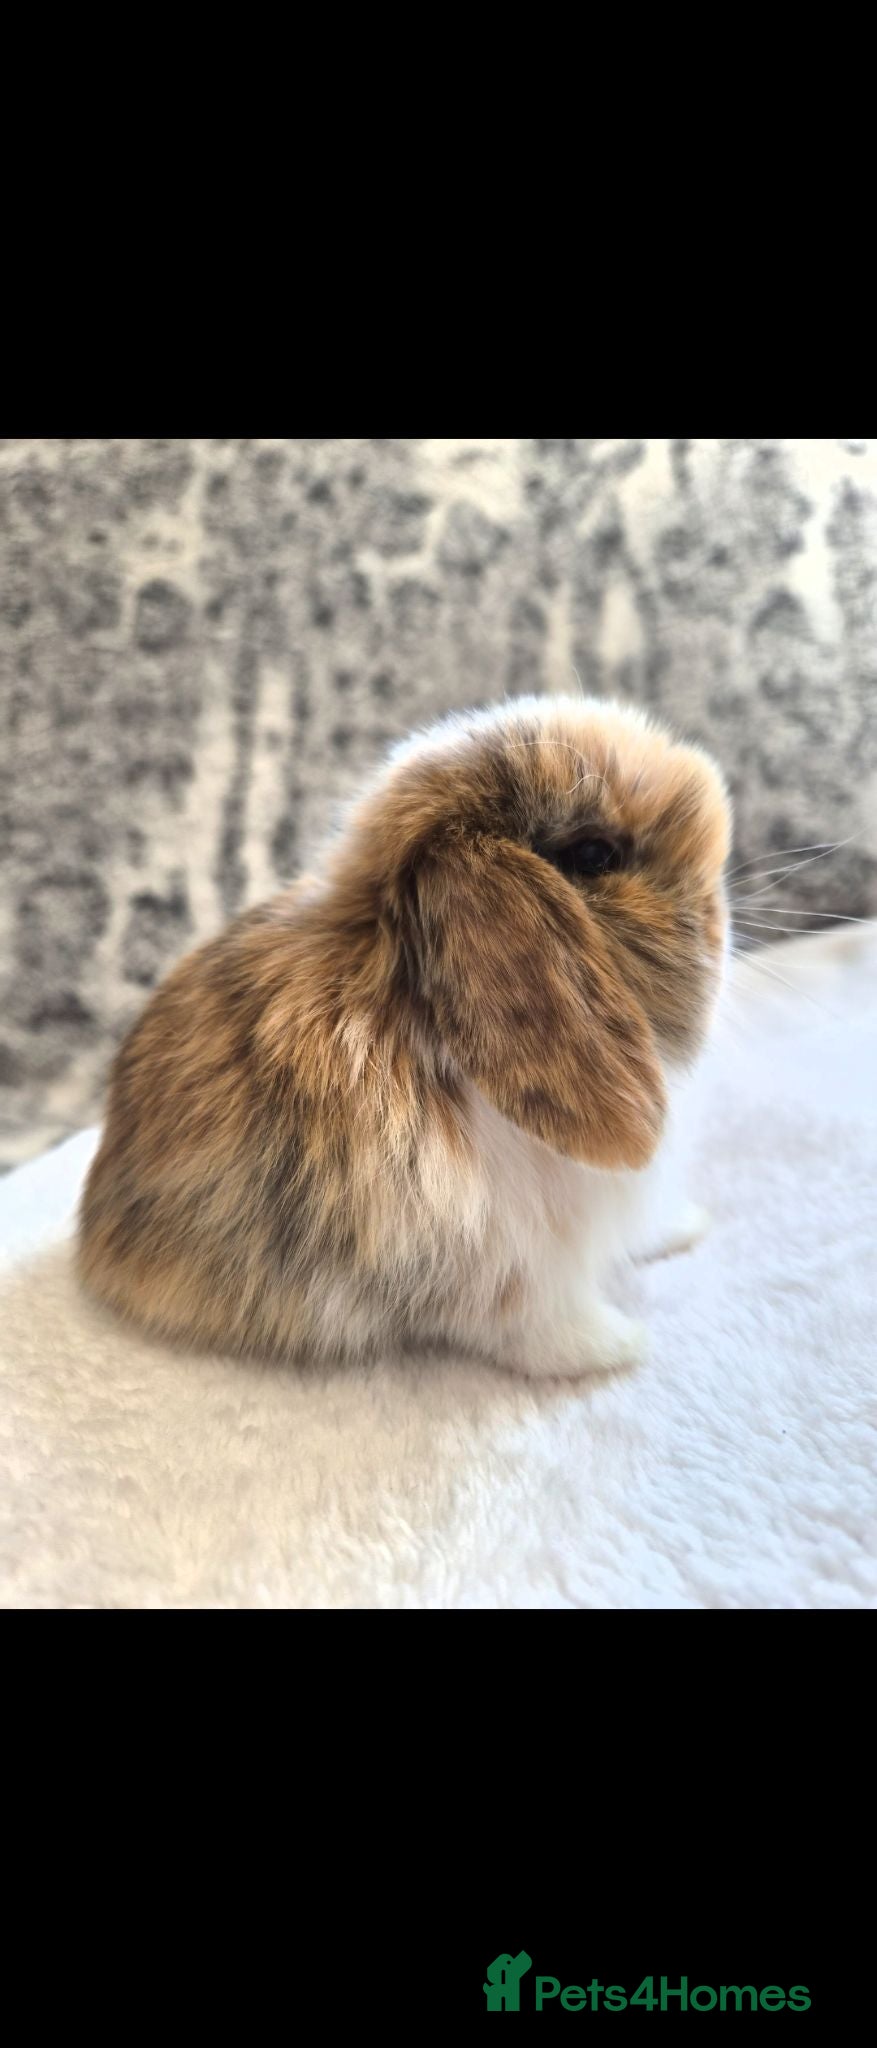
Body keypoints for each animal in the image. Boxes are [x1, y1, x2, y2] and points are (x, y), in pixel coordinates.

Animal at [78, 695, 731, 1377]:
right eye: (595, 855)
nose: (720, 911)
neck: (416, 1010)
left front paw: (686, 1226)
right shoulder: (498, 1262)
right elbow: (538, 1322)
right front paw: (619, 1346)